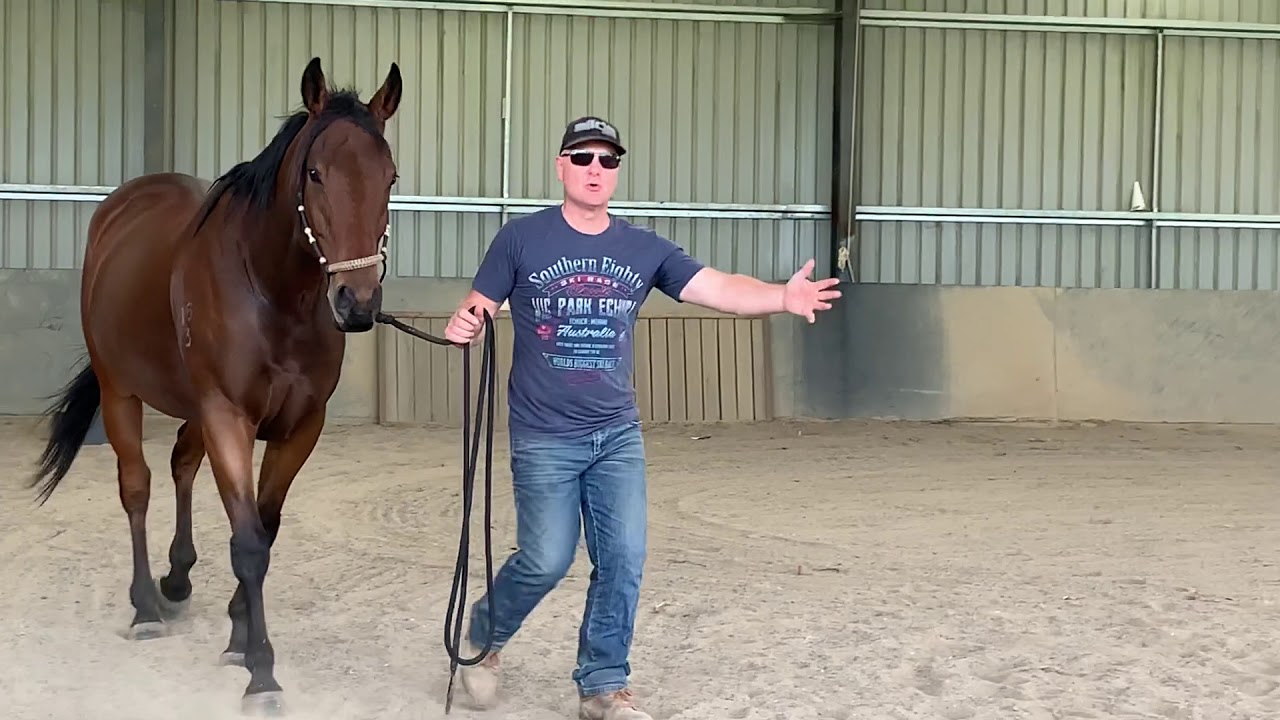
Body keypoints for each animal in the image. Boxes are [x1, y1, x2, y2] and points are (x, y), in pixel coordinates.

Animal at [27, 56, 403, 715]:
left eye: (389, 177)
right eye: (315, 174)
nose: (356, 304)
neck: (273, 291)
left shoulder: (300, 427)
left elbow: (264, 529)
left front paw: (237, 635)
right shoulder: (228, 416)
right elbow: (248, 541)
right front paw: (262, 670)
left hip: (193, 408)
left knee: (181, 462)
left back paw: (177, 577)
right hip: (120, 391)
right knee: (137, 488)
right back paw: (146, 606)